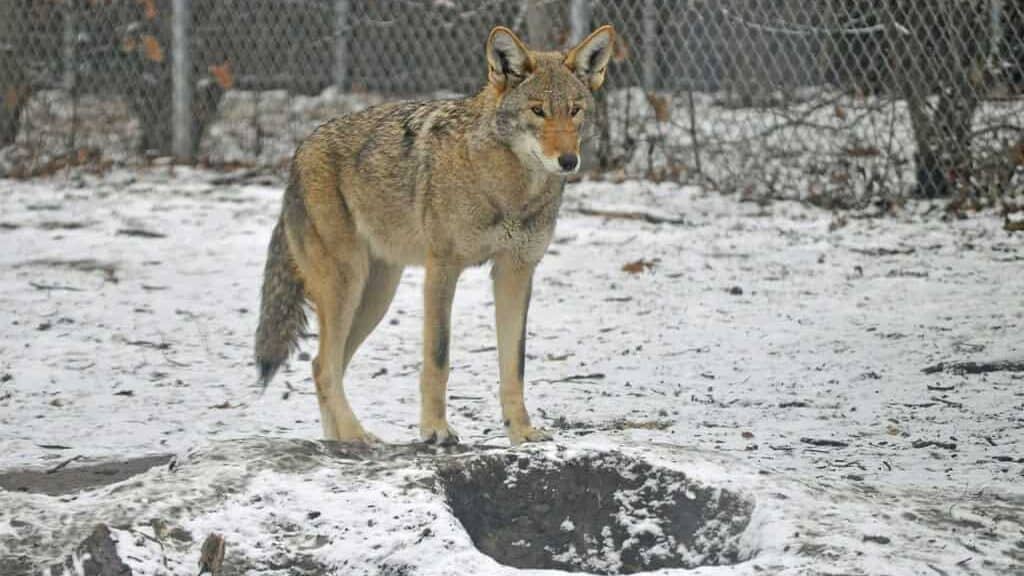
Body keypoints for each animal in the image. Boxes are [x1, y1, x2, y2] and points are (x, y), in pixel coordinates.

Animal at [254, 25, 615, 445]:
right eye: (537, 110)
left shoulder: (516, 272)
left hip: (376, 296)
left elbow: (515, 366)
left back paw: (342, 439)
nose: (568, 161)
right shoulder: (442, 269)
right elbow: (438, 358)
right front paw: (436, 429)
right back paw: (358, 436)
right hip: (348, 286)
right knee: (323, 367)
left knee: (322, 364)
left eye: (574, 110)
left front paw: (522, 432)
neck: (509, 190)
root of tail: (298, 153)